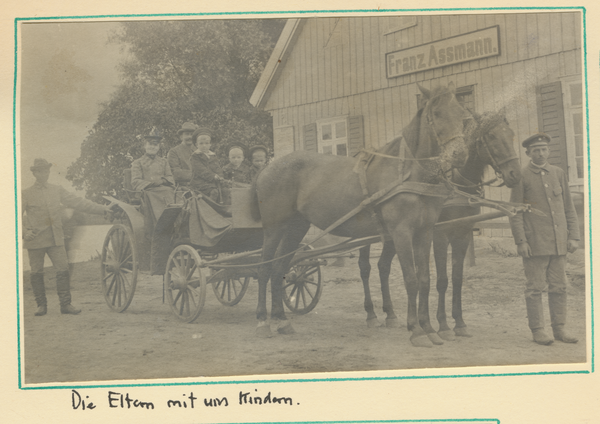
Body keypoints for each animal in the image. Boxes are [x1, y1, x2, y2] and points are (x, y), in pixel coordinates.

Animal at [252, 83, 468, 348]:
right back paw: (262, 321)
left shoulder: (425, 231)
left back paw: (281, 320)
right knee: (263, 268)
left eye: (462, 115)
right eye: (436, 114)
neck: (407, 171)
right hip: (274, 229)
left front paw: (428, 328)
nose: (460, 154)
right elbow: (411, 279)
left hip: (295, 228)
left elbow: (425, 279)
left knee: (278, 268)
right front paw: (416, 330)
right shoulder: (401, 232)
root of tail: (268, 167)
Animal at [356, 112, 520, 342]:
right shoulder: (440, 235)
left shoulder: (462, 234)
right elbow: (442, 279)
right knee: (365, 267)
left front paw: (459, 323)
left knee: (383, 266)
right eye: (492, 136)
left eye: (511, 134)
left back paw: (390, 314)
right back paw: (371, 313)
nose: (515, 174)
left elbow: (457, 279)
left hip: (393, 235)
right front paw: (442, 325)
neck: (457, 186)